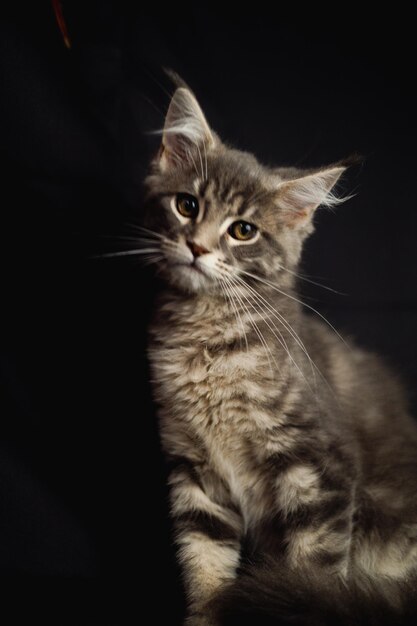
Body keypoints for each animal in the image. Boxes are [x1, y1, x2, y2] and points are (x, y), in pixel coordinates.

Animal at [143, 85, 416, 620]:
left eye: (242, 231)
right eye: (187, 205)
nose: (196, 248)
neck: (208, 341)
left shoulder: (319, 469)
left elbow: (315, 572)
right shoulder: (194, 470)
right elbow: (204, 563)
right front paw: (207, 615)